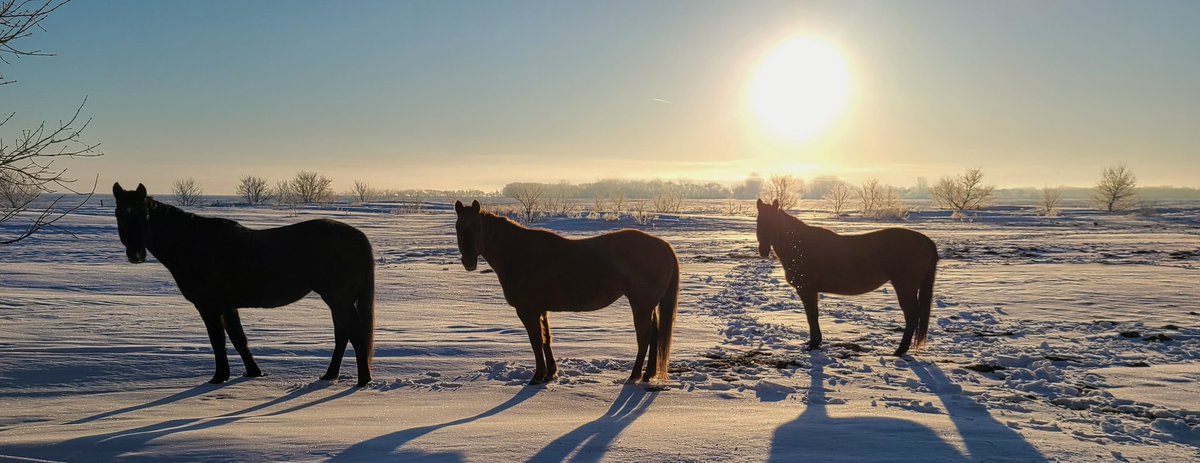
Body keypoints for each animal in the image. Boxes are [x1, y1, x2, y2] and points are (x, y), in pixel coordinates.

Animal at [111, 183, 375, 387]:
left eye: (144, 215)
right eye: (119, 214)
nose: (135, 254)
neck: (193, 245)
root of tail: (357, 236)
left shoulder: (209, 307)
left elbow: (218, 341)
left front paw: (219, 378)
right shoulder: (228, 307)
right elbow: (239, 339)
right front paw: (253, 373)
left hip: (338, 299)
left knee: (354, 334)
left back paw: (362, 381)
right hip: (338, 301)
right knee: (343, 334)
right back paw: (331, 375)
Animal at [453, 200, 679, 385]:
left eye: (477, 227)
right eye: (458, 227)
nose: (468, 262)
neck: (519, 253)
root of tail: (663, 246)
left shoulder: (527, 311)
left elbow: (536, 341)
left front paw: (538, 376)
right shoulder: (541, 310)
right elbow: (546, 339)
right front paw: (550, 373)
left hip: (640, 305)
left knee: (644, 337)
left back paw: (634, 376)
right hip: (647, 305)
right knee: (654, 335)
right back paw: (648, 374)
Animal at [755, 198, 938, 356]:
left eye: (773, 222)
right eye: (759, 222)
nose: (763, 251)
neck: (799, 246)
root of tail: (925, 240)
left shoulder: (807, 290)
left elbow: (811, 316)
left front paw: (813, 344)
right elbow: (813, 315)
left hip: (905, 287)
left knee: (912, 315)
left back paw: (900, 350)